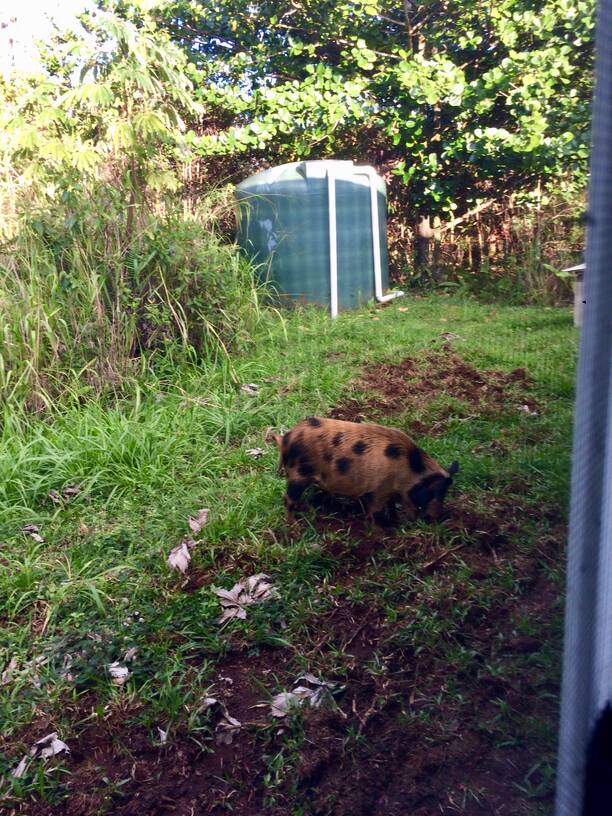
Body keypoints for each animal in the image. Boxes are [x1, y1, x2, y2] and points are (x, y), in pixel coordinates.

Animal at [272, 418, 460, 524]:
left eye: (444, 494)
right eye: (428, 495)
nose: (435, 520)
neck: (408, 470)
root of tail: (286, 439)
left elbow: (391, 505)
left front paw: (394, 521)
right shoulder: (378, 489)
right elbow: (375, 511)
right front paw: (381, 532)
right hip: (298, 475)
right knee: (287, 499)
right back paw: (293, 527)